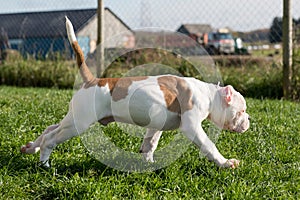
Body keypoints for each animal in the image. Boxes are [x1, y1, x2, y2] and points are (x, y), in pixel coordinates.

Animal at [21, 17, 250, 168]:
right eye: (241, 110)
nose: (249, 119)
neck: (209, 95)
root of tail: (92, 80)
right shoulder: (192, 126)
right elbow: (209, 145)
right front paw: (226, 163)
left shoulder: (156, 125)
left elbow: (150, 143)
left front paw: (148, 163)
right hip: (79, 123)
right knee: (51, 138)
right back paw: (44, 162)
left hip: (72, 118)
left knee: (50, 129)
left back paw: (31, 147)